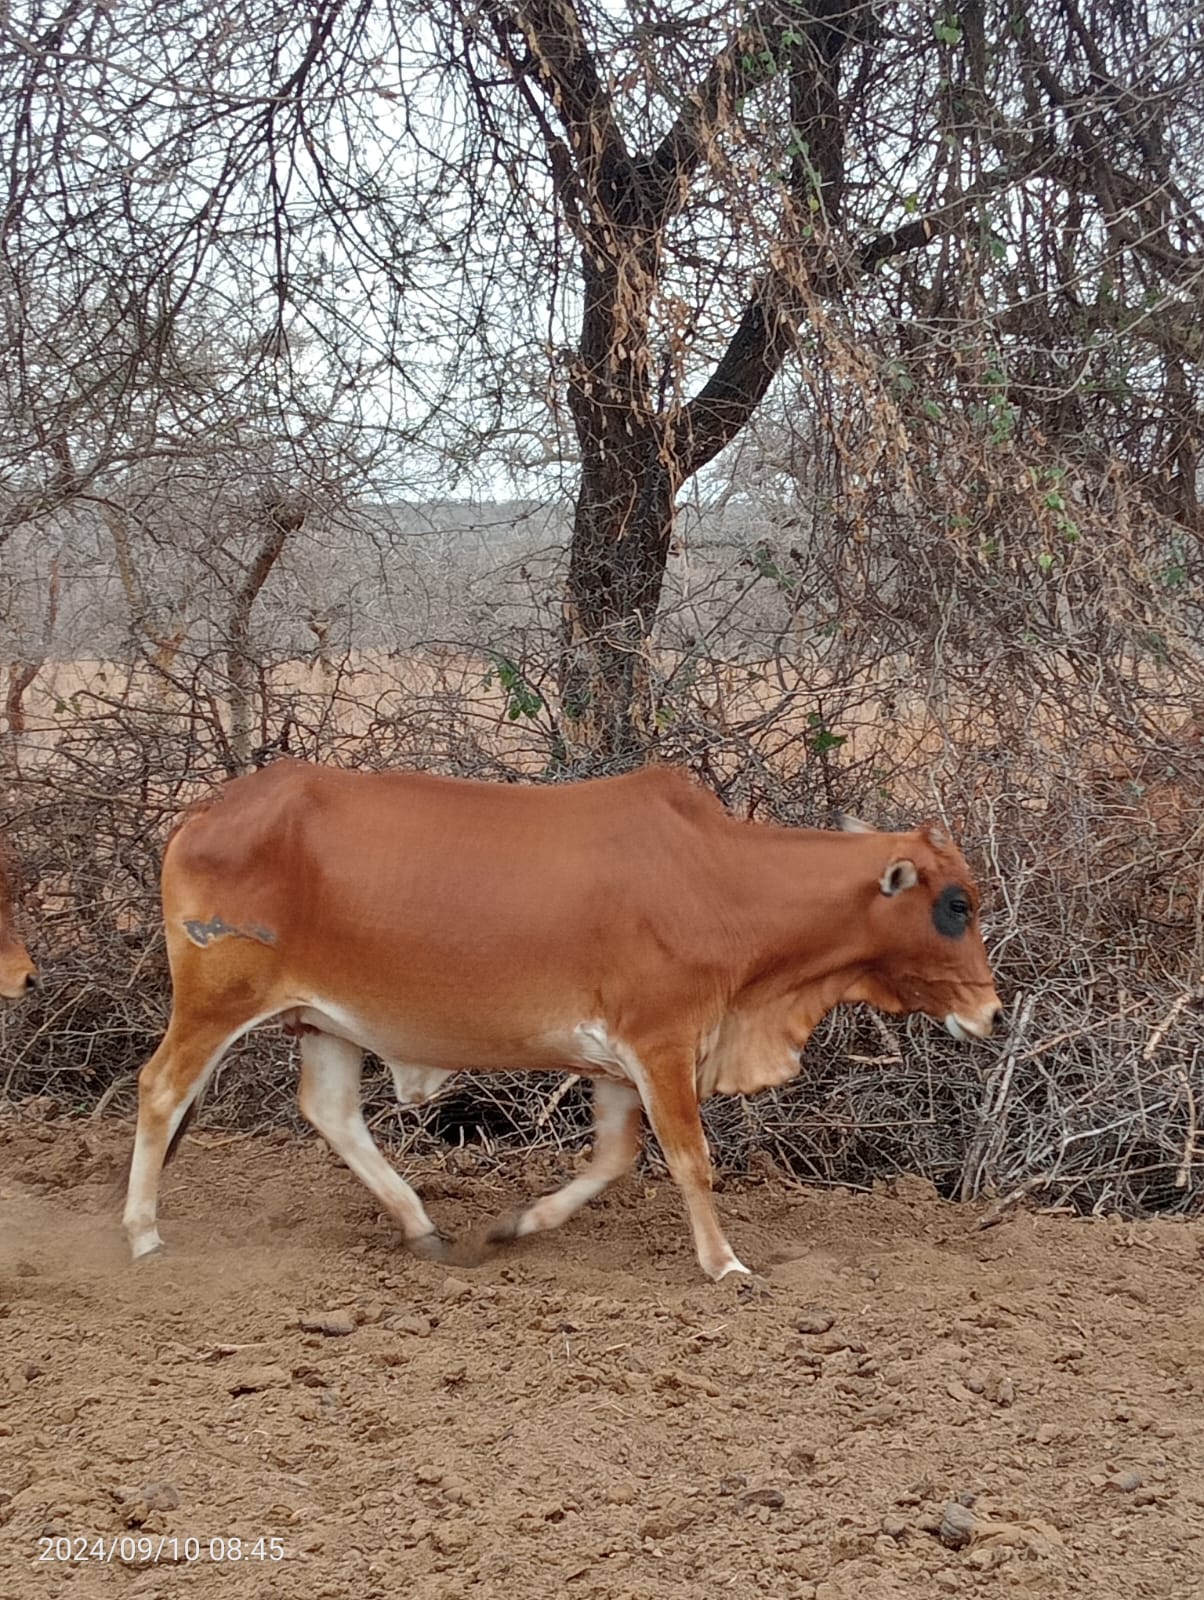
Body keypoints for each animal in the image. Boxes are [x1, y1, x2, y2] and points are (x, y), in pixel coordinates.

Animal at [123, 761, 1003, 1280]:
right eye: (956, 904)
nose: (990, 1012)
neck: (720, 880)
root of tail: (208, 810)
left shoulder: (615, 1064)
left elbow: (614, 1160)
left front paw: (516, 1226)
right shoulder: (661, 1041)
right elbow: (691, 1160)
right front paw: (725, 1265)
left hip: (324, 1021)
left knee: (331, 1114)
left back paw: (424, 1230)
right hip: (217, 1002)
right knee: (160, 1088)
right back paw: (141, 1232)